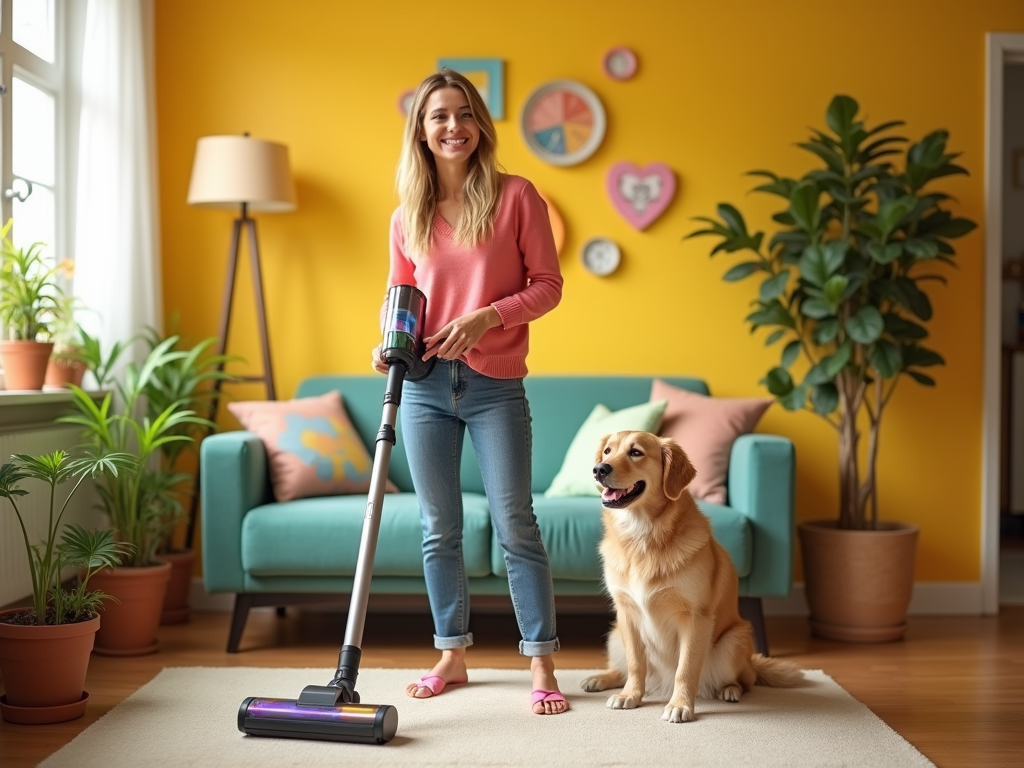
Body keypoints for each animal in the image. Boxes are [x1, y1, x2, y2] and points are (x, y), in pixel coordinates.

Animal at [581, 434, 802, 720]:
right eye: (608, 451)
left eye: (636, 452)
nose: (599, 469)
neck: (643, 535)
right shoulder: (626, 613)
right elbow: (635, 664)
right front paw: (630, 695)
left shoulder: (695, 617)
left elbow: (685, 669)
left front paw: (680, 705)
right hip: (615, 635)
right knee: (623, 669)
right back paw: (601, 679)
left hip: (733, 641)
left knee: (747, 680)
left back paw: (730, 690)